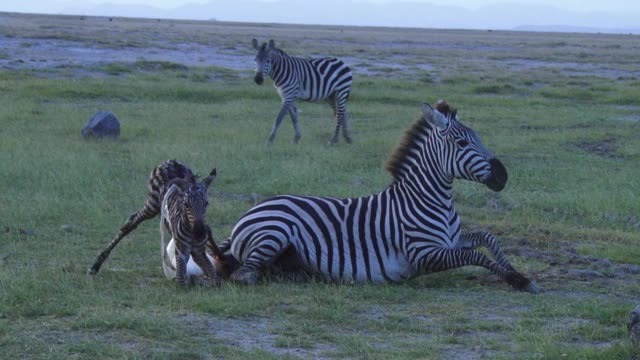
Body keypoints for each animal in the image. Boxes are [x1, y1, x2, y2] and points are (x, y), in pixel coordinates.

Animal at [220, 99, 540, 292]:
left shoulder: (450, 240)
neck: (432, 200)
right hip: (274, 232)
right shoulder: (424, 253)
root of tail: (250, 212)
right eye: (462, 142)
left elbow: (488, 239)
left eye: (479, 138)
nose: (503, 176)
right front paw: (517, 279)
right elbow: (474, 254)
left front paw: (516, 272)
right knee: (244, 274)